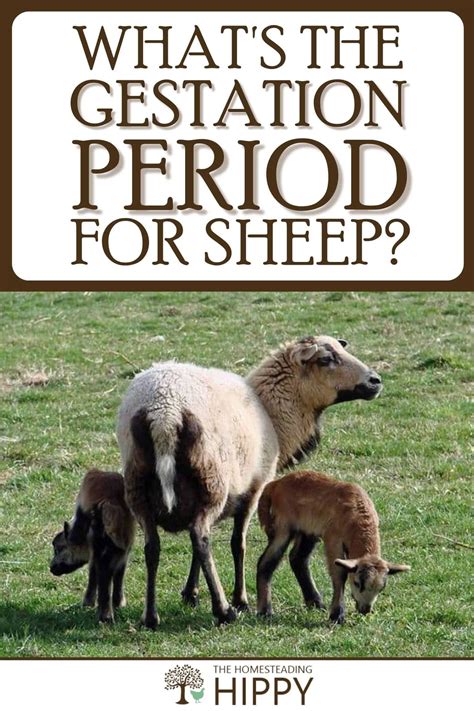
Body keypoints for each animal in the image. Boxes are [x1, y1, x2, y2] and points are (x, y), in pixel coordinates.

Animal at [50, 469, 135, 624]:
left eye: (58, 548)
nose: (51, 568)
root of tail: (111, 503)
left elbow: (93, 572)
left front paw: (87, 603)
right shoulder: (124, 552)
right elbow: (119, 574)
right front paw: (119, 603)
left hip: (100, 544)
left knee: (103, 574)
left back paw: (105, 617)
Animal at [117, 335, 382, 629]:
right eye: (326, 359)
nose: (375, 381)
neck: (274, 412)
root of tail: (164, 414)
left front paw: (191, 593)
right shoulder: (254, 489)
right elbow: (237, 544)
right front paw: (240, 599)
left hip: (138, 485)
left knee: (153, 547)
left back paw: (151, 616)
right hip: (211, 480)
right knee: (201, 539)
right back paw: (223, 610)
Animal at [257, 470, 410, 624]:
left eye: (382, 588)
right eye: (357, 583)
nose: (365, 610)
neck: (358, 517)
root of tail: (275, 484)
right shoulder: (333, 539)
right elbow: (339, 574)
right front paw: (337, 615)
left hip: (308, 530)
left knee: (298, 559)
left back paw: (315, 602)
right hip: (283, 526)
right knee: (267, 562)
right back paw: (265, 611)